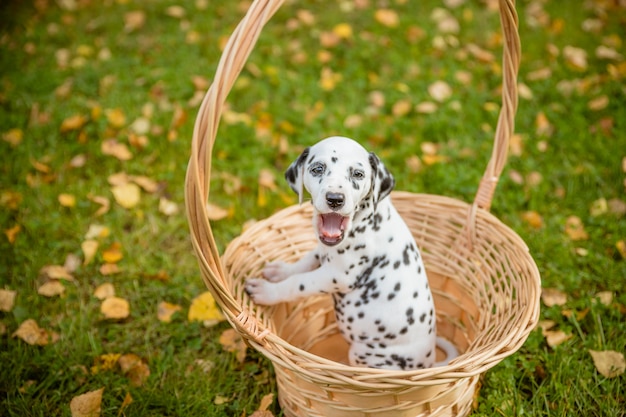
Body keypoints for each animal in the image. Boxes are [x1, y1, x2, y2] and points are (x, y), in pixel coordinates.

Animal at [246, 135, 456, 368]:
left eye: (358, 174)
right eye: (318, 169)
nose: (335, 199)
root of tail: (427, 364)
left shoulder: (337, 275)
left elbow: (298, 282)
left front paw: (266, 291)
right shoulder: (322, 252)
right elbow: (306, 261)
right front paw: (279, 271)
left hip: (364, 353)